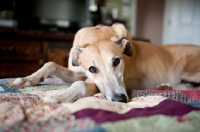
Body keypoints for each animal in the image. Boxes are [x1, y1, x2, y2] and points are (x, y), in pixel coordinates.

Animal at [8, 24, 200, 103]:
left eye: (117, 61)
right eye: (92, 68)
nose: (120, 100)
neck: (97, 35)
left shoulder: (96, 83)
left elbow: (80, 85)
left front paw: (58, 96)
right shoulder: (80, 71)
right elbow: (51, 64)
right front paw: (25, 79)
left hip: (189, 69)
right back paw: (166, 86)